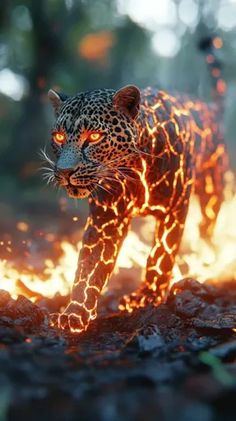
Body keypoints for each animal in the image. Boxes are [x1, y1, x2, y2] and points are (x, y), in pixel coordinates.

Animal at [44, 36, 229, 332]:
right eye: (59, 137)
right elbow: (88, 267)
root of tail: (208, 107)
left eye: (94, 136)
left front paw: (147, 296)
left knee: (206, 228)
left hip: (212, 191)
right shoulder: (105, 219)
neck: (133, 170)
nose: (65, 171)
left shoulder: (174, 210)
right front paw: (74, 313)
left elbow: (161, 255)